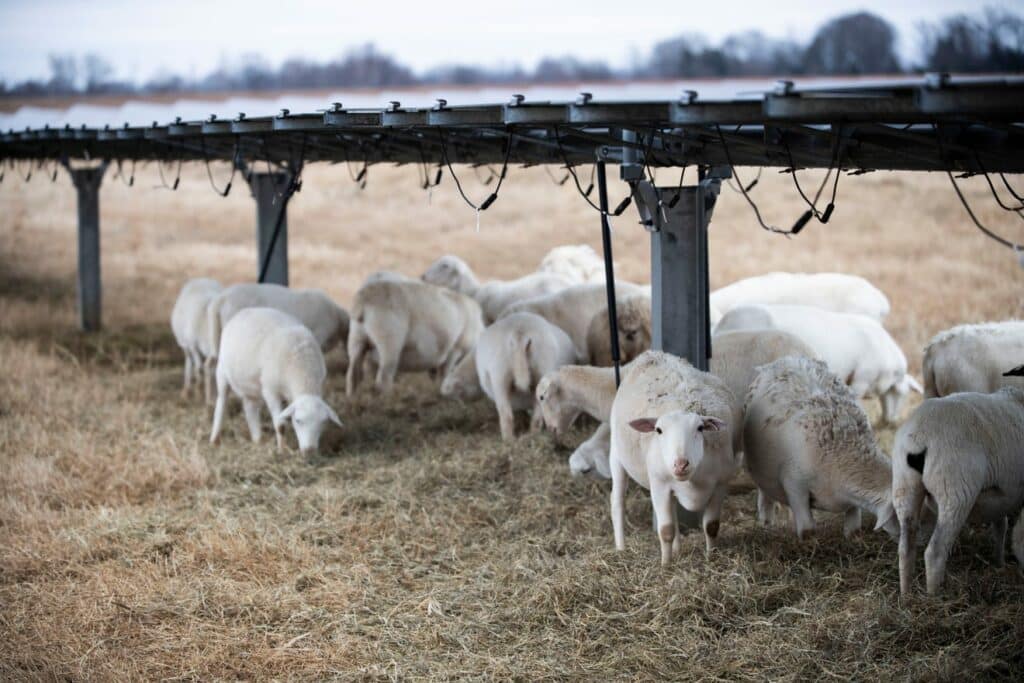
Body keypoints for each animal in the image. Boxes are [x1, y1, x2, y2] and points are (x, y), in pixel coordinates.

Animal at [210, 307, 343, 455]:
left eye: (323, 423)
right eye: (298, 421)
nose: (310, 450)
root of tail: (248, 310)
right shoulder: (270, 390)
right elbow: (280, 425)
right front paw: (281, 450)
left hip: (251, 385)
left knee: (250, 409)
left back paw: (258, 440)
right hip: (222, 370)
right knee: (221, 403)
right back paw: (214, 439)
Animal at [346, 279, 483, 394]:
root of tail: (363, 301)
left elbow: (437, 374)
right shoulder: (456, 349)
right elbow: (446, 372)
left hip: (357, 339)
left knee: (353, 375)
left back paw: (352, 397)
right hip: (388, 340)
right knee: (384, 377)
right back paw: (387, 397)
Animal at [609, 350, 738, 564]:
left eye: (700, 428)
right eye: (658, 430)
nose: (680, 464)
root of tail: (652, 354)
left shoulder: (721, 484)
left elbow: (711, 526)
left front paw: (711, 557)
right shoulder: (659, 484)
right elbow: (666, 530)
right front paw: (666, 564)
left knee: (675, 511)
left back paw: (677, 549)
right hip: (616, 454)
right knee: (617, 502)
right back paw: (620, 548)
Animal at [743, 356, 898, 540]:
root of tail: (788, 359)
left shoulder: (851, 499)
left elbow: (853, 525)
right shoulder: (795, 485)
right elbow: (808, 529)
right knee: (765, 494)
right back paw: (767, 522)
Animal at [892, 387, 1024, 595]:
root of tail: (920, 436)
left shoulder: (1001, 498)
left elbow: (1000, 526)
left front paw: (999, 563)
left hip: (904, 486)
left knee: (906, 546)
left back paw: (906, 596)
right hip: (954, 491)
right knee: (935, 552)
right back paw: (934, 597)